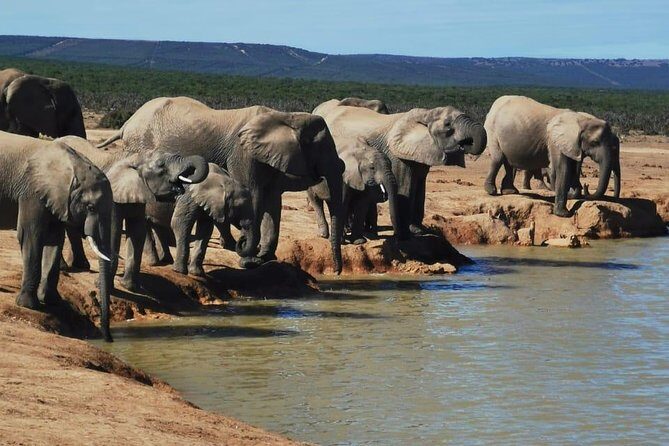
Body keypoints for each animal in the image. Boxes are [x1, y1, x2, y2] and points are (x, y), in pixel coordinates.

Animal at [0, 131, 113, 341]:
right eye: (91, 208)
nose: (108, 339)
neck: (73, 167)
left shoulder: (57, 200)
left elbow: (54, 240)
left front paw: (53, 302)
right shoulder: (32, 193)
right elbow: (31, 236)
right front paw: (29, 306)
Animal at [59, 136, 209, 292]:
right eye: (161, 165)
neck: (133, 158)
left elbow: (137, 232)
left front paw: (129, 286)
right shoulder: (111, 195)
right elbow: (112, 231)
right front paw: (102, 286)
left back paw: (80, 266)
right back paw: (66, 268)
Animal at [97, 97, 345, 273]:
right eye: (322, 146)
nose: (336, 272)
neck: (285, 117)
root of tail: (126, 124)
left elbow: (272, 201)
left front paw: (265, 257)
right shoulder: (243, 154)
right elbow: (254, 195)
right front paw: (250, 260)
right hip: (138, 148)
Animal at [313, 99, 487, 236]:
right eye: (448, 125)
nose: (466, 143)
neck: (426, 113)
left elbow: (420, 189)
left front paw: (419, 231)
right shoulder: (398, 154)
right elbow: (406, 189)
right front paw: (406, 234)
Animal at [483, 95, 621, 217]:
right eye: (595, 142)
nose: (586, 186)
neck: (581, 120)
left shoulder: (571, 145)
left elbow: (572, 168)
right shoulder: (555, 141)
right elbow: (562, 169)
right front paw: (564, 214)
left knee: (509, 162)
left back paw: (510, 191)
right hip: (491, 130)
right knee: (498, 158)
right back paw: (491, 191)